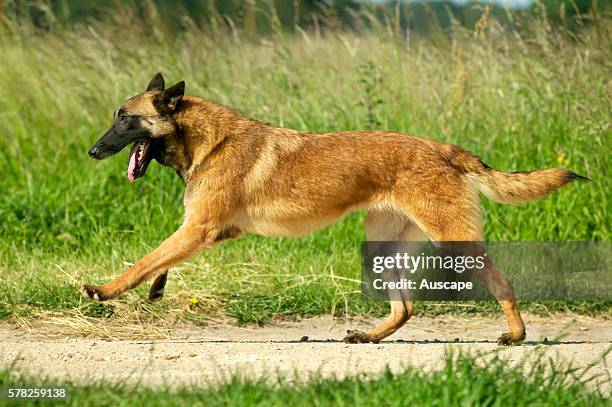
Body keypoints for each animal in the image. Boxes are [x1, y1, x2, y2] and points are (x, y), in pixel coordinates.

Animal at [83, 72, 584, 344]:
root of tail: (445, 149)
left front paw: (105, 291)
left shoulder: (200, 229)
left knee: (502, 282)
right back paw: (368, 335)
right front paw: (155, 288)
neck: (205, 139)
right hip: (382, 247)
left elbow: (142, 261)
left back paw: (515, 337)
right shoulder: (201, 230)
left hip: (455, 242)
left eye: (125, 119)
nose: (92, 151)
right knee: (405, 307)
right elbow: (157, 261)